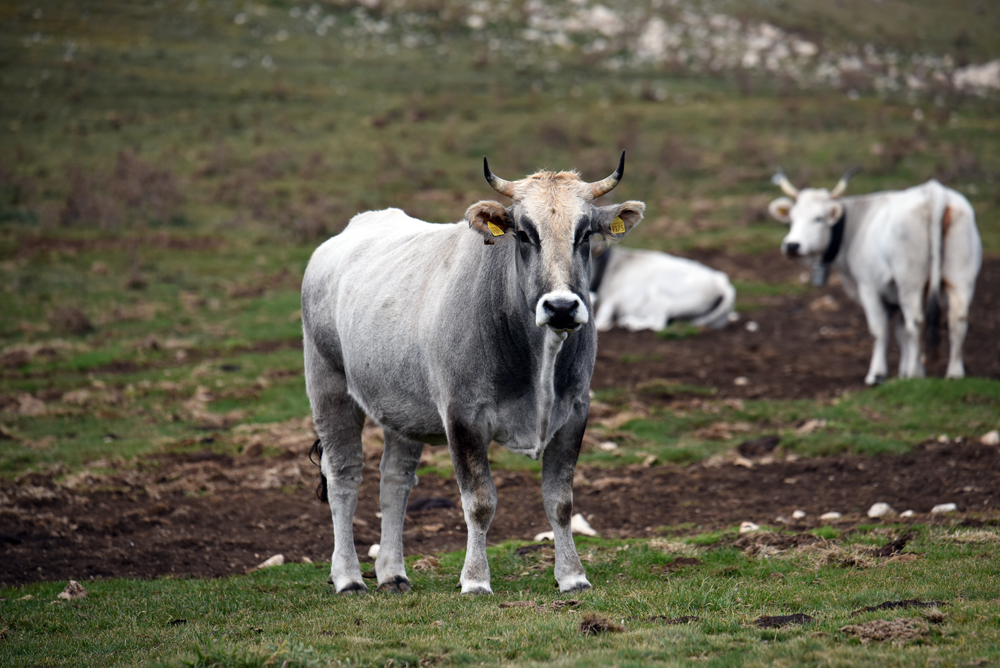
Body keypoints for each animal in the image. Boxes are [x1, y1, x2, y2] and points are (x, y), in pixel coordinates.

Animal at [300, 153, 644, 596]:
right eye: (524, 234)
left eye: (584, 234)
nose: (561, 307)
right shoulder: (462, 416)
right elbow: (480, 501)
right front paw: (476, 579)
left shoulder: (575, 411)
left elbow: (560, 500)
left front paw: (572, 575)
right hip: (329, 387)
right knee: (344, 475)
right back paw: (347, 577)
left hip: (401, 408)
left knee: (394, 481)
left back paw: (393, 573)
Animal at [592, 245, 736, 332]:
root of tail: (720, 280)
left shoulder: (611, 299)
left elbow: (600, 321)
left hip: (659, 293)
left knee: (658, 323)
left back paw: (629, 322)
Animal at [768, 170, 980, 384]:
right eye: (792, 218)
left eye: (818, 218)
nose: (792, 245)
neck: (857, 227)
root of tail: (934, 191)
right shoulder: (896, 296)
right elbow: (901, 333)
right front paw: (904, 373)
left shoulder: (868, 288)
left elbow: (879, 331)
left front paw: (878, 374)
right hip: (961, 278)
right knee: (957, 319)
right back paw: (954, 373)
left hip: (910, 283)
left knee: (916, 322)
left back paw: (914, 373)